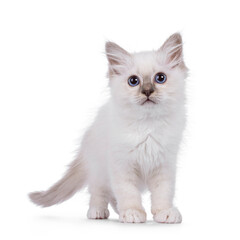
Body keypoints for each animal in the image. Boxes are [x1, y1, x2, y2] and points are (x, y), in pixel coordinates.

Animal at [29, 31, 188, 223]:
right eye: (133, 81)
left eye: (160, 78)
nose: (147, 91)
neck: (147, 126)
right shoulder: (121, 165)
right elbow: (128, 192)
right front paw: (133, 213)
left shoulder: (164, 164)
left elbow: (163, 193)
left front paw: (165, 213)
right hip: (99, 170)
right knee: (98, 192)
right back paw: (98, 212)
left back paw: (118, 211)